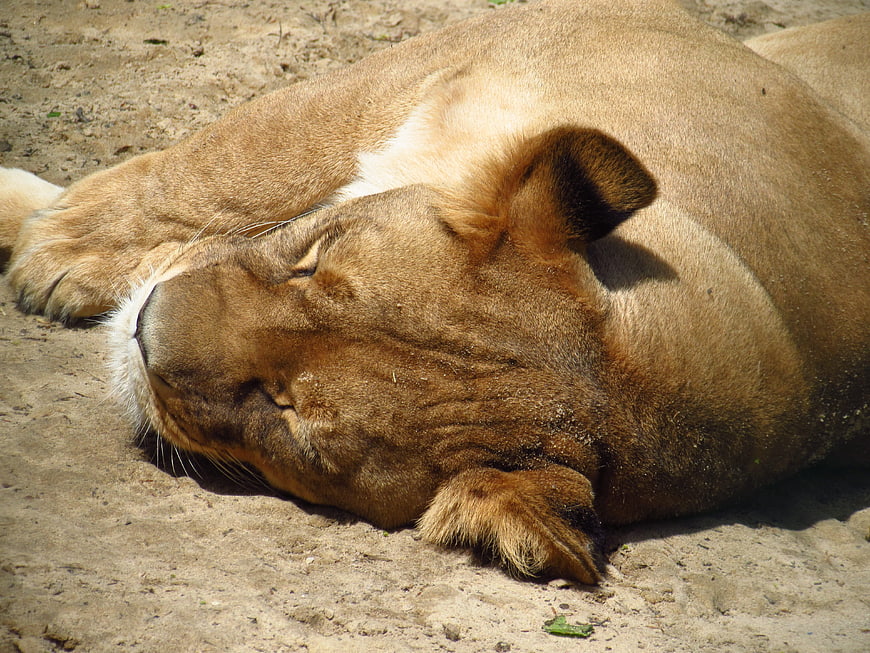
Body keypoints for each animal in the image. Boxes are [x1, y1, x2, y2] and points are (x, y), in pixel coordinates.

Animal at [1, 0, 868, 583]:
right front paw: (60, 242)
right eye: (313, 260)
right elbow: (240, 160)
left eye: (290, 415)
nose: (145, 330)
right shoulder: (521, 38)